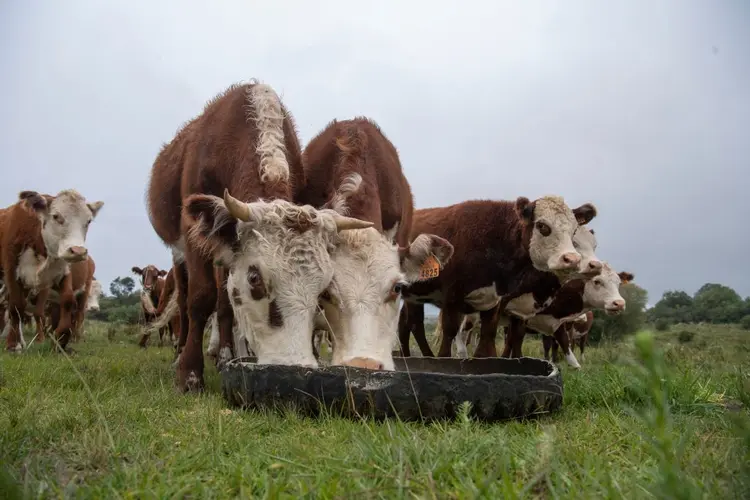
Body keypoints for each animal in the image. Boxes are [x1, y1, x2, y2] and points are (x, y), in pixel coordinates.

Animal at [0, 188, 103, 352]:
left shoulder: (61, 272)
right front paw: (13, 344)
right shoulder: (12, 271)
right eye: (56, 216)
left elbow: (67, 301)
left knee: (78, 314)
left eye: (88, 221)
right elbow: (16, 307)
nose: (78, 251)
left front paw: (61, 338)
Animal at [145, 81, 374, 390]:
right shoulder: (194, 236)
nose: (291, 366)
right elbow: (200, 298)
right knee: (184, 300)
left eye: (323, 288)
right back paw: (180, 354)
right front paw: (189, 374)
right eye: (255, 279)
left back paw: (226, 354)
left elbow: (225, 304)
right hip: (179, 252)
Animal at [400, 199, 600, 360]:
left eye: (573, 231)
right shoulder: (451, 297)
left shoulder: (496, 301)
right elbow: (450, 331)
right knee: (414, 324)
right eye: (542, 226)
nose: (571, 259)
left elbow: (491, 334)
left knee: (411, 323)